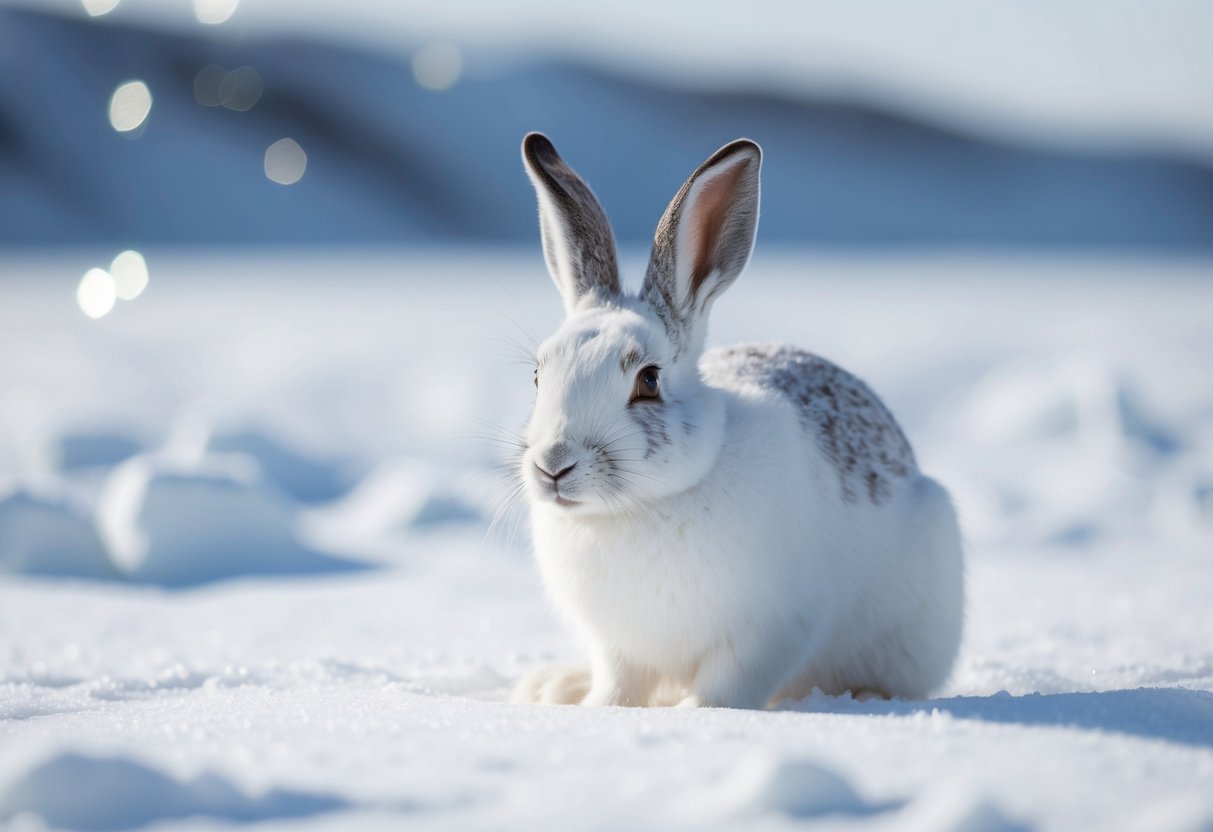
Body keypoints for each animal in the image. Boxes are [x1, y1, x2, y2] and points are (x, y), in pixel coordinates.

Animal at [511, 132, 964, 709]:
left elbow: (728, 685)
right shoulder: (618, 647)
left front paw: (697, 713)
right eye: (538, 375)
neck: (639, 506)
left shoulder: (765, 633)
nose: (553, 466)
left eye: (649, 381)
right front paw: (599, 708)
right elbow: (620, 685)